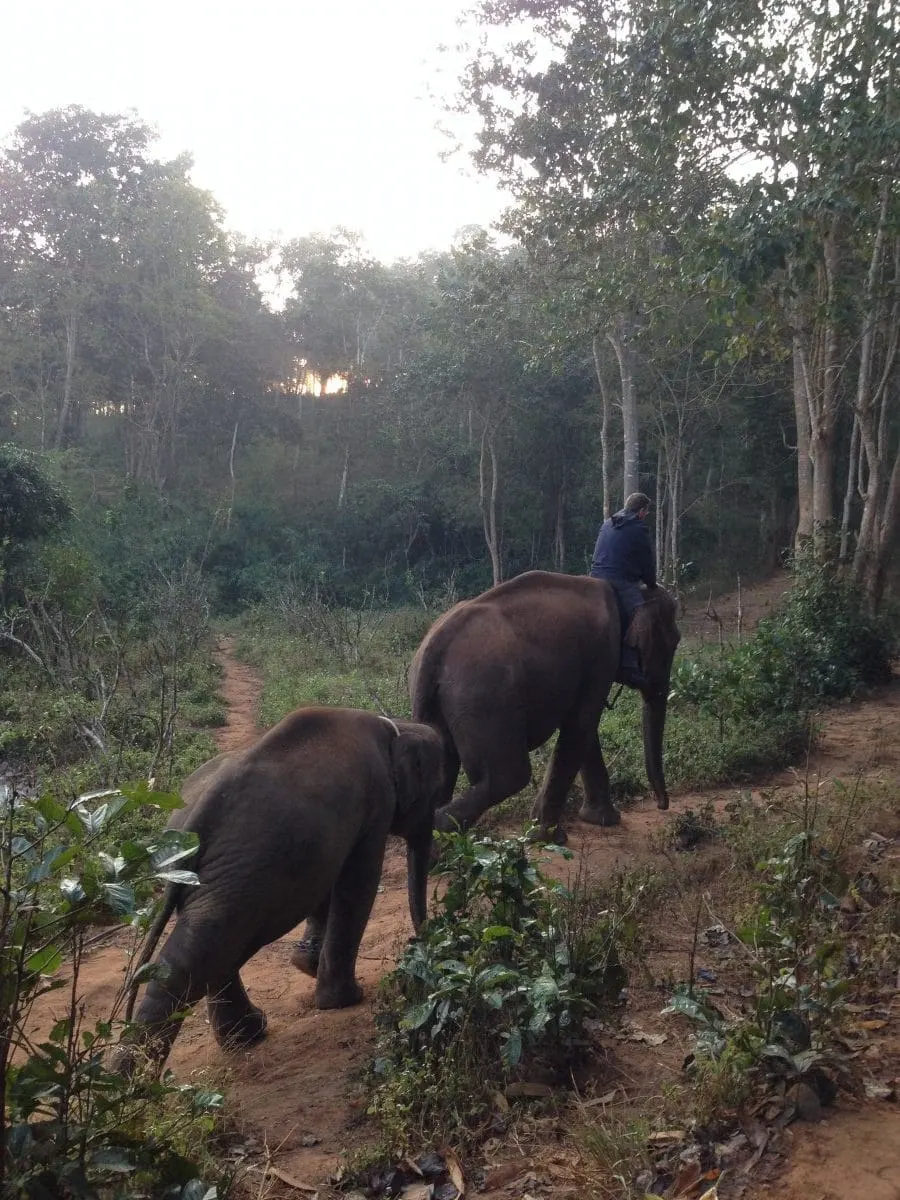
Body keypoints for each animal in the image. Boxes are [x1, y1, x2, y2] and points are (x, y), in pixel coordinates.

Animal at [121, 706, 445, 1068]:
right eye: (436, 793)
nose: (422, 939)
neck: (395, 727)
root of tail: (193, 817)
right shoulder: (376, 801)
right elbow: (357, 881)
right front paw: (345, 999)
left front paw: (307, 966)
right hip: (246, 866)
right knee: (198, 954)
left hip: (217, 877)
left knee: (212, 946)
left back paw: (246, 1036)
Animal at [409, 570, 680, 843]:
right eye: (675, 642)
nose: (662, 805)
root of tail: (436, 644)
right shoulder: (602, 655)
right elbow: (582, 726)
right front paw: (549, 837)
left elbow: (584, 730)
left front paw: (600, 820)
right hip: (485, 698)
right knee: (507, 776)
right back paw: (442, 830)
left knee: (444, 767)